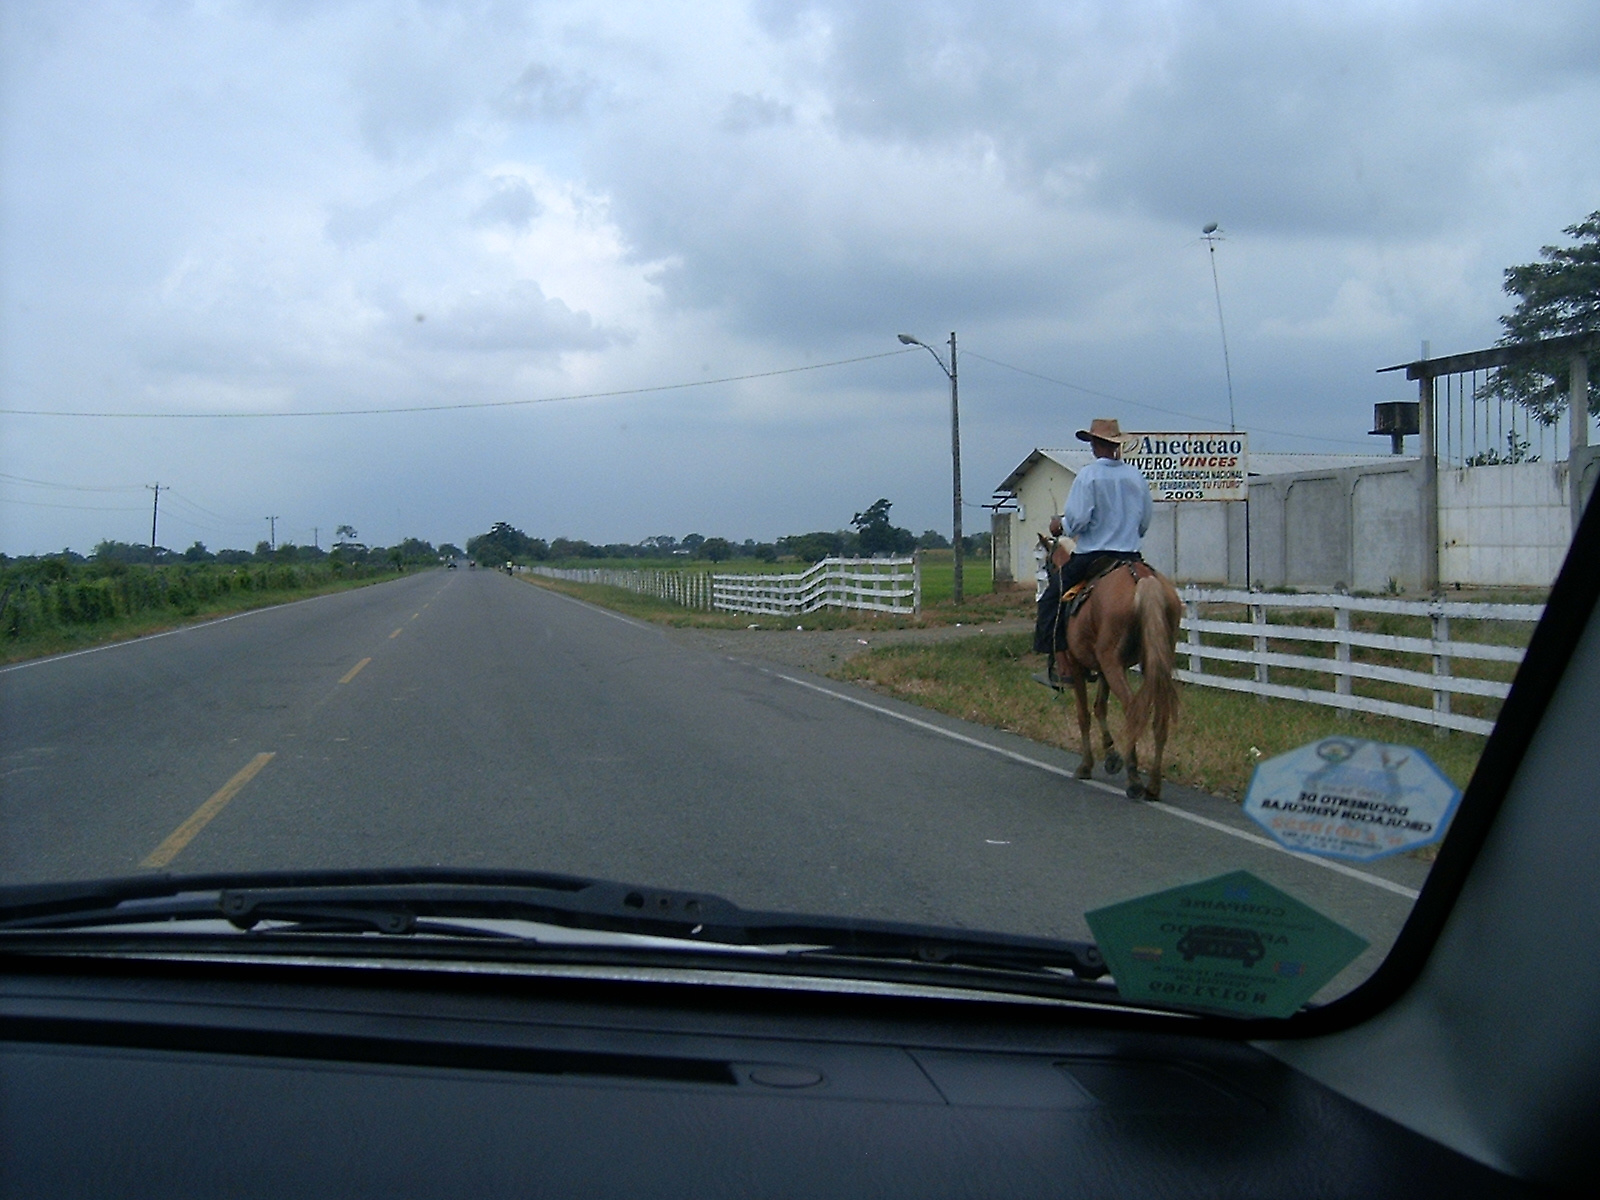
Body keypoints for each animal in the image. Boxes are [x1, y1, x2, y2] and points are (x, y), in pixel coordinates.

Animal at [1043, 540, 1184, 803]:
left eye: (1047, 563)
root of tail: (1143, 579)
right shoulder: (1105, 668)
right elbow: (1100, 707)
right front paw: (1110, 756)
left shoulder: (1079, 666)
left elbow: (1084, 714)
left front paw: (1086, 765)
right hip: (1153, 662)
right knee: (1159, 717)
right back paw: (1153, 786)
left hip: (1113, 664)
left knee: (1133, 710)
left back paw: (1135, 781)